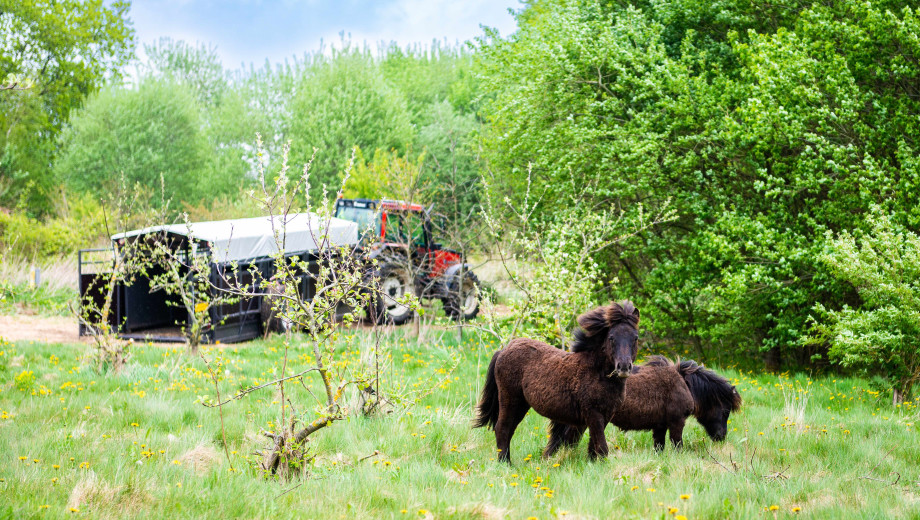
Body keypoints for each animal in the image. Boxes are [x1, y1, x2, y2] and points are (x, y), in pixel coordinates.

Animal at [474, 300, 640, 464]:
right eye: (611, 337)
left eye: (635, 337)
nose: (624, 367)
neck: (597, 372)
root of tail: (503, 350)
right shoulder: (593, 414)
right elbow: (602, 447)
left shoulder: (605, 415)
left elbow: (594, 446)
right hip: (510, 400)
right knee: (502, 428)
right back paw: (505, 463)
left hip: (520, 404)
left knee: (508, 429)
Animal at [544, 356, 744, 452]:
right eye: (725, 411)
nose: (721, 436)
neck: (683, 383)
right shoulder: (676, 423)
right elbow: (677, 445)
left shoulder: (660, 426)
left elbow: (659, 447)